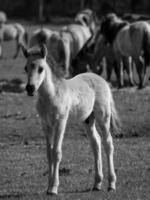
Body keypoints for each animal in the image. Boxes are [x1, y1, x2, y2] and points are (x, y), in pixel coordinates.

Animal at [21, 43, 119, 195]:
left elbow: (56, 152)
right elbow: (49, 153)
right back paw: (97, 184)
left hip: (103, 116)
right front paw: (48, 186)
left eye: (40, 68)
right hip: (88, 120)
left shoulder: (60, 122)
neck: (51, 96)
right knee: (96, 143)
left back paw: (111, 184)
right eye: (26, 68)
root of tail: (101, 79)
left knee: (108, 143)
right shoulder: (46, 125)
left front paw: (54, 188)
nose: (30, 88)